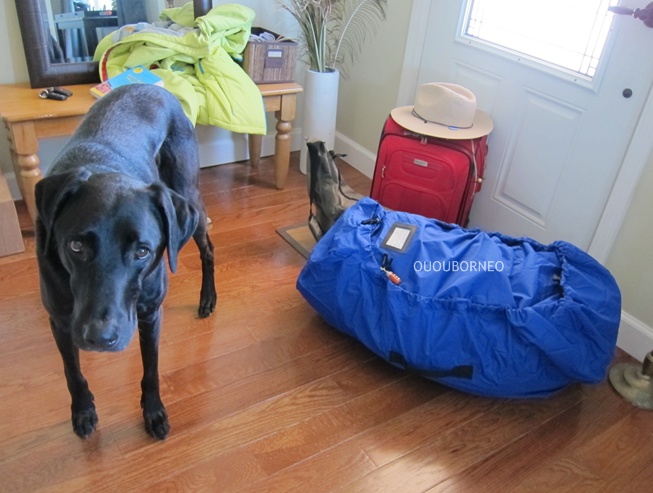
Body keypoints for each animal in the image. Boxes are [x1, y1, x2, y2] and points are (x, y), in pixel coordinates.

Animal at [34, 83, 216, 438]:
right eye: (75, 246)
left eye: (142, 251)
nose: (101, 338)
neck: (104, 167)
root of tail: (152, 85)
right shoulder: (60, 320)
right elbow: (71, 371)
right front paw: (83, 410)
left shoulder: (150, 312)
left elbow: (152, 368)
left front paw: (153, 411)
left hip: (188, 192)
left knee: (208, 249)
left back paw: (208, 298)